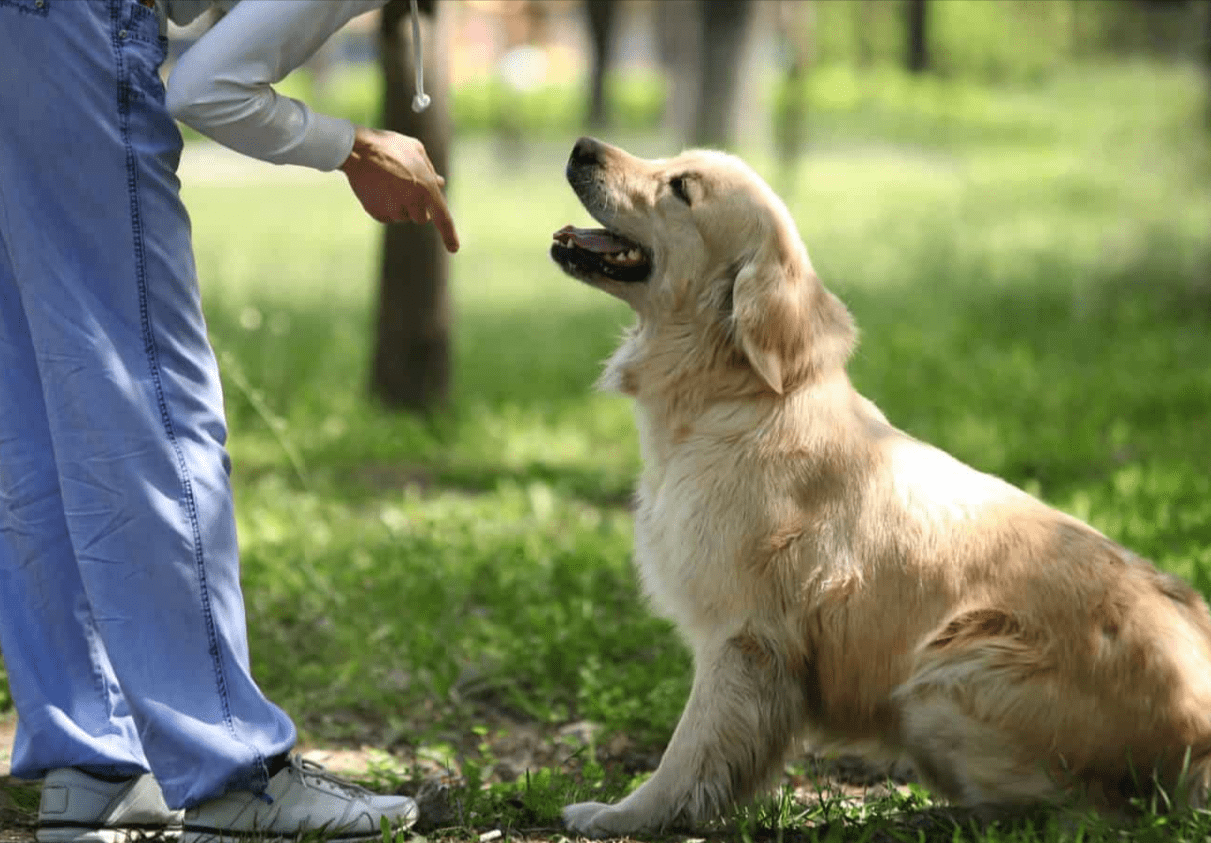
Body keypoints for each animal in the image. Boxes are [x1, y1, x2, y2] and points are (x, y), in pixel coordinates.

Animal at [552, 138, 1211, 838]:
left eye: (680, 187)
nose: (583, 146)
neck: (738, 398)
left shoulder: (744, 638)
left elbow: (688, 754)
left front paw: (624, 814)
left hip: (945, 674)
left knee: (1079, 811)